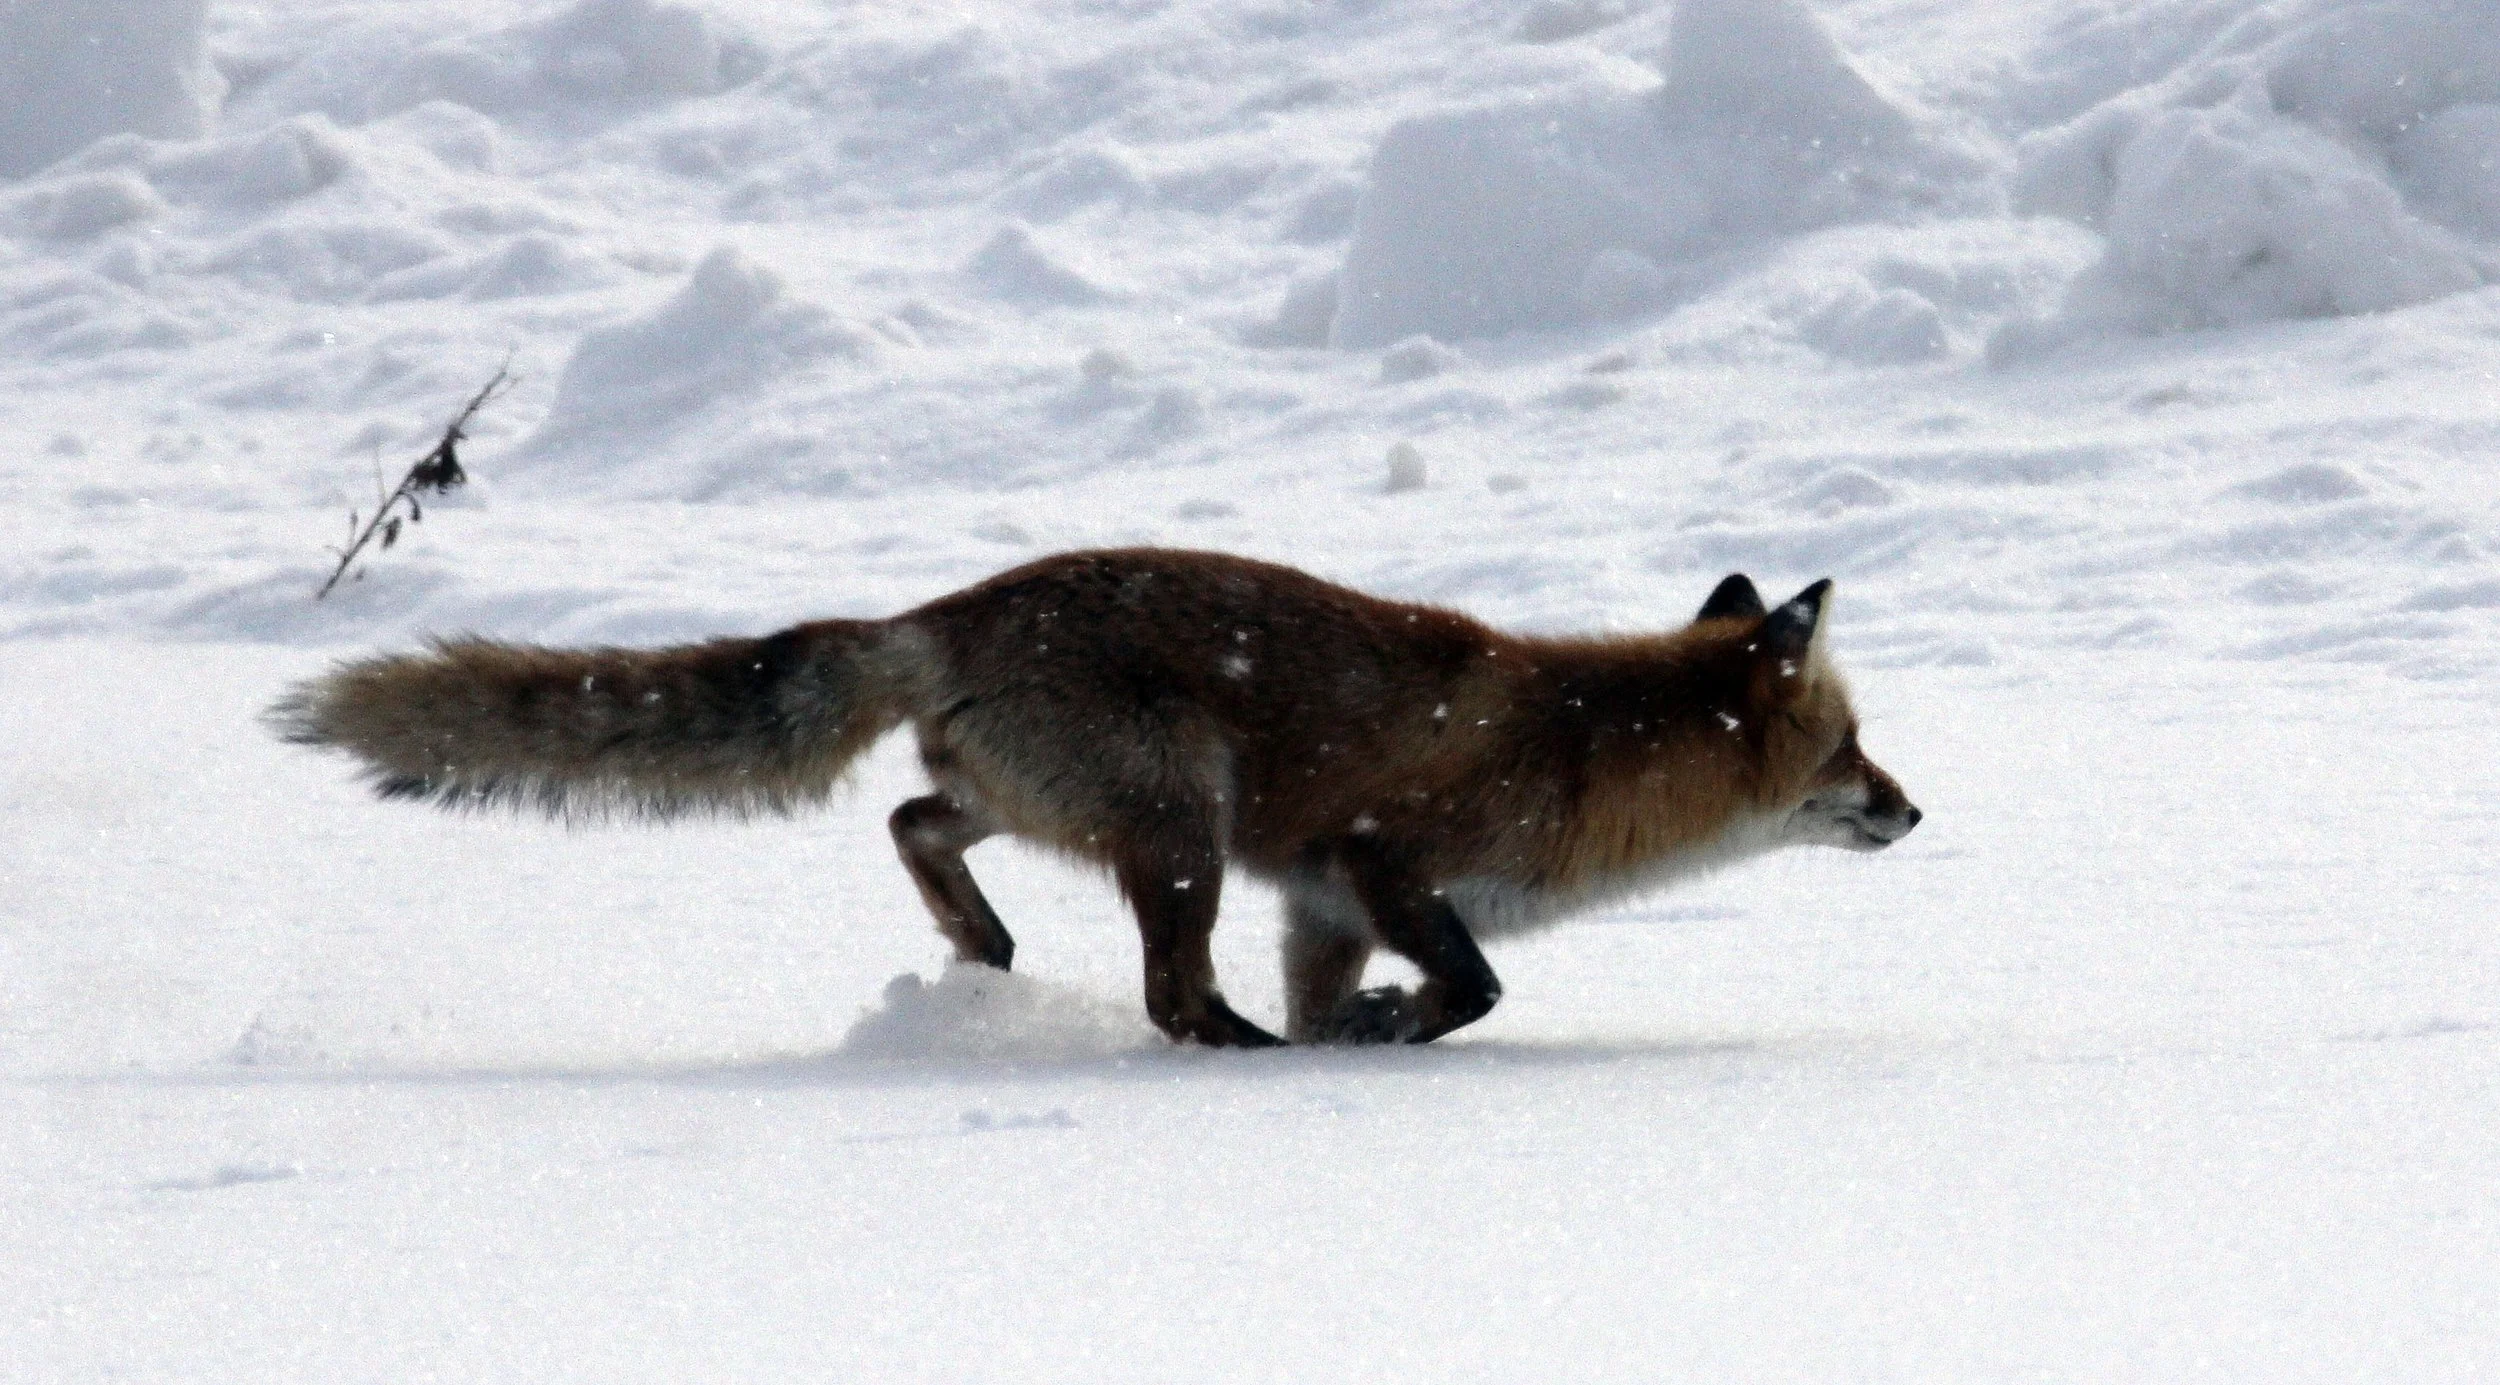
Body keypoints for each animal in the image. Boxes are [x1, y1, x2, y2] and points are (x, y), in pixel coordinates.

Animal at [269, 548, 1918, 1048]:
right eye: (1849, 748)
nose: (1912, 810)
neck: (1582, 747)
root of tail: (944, 611)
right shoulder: (1379, 858)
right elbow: (1476, 986)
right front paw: (1383, 1035)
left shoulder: (1321, 904)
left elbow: (1378, 994)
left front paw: (1359, 1042)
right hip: (1183, 829)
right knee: (1171, 1001)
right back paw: (1232, 1056)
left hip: (1064, 809)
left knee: (913, 823)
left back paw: (981, 948)